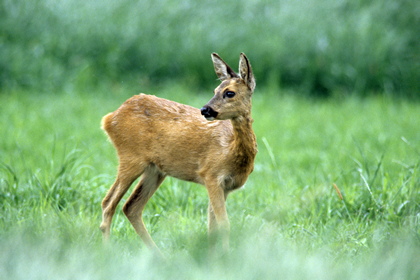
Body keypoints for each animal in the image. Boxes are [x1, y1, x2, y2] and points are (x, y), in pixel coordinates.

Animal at [100, 52, 258, 254]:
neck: (231, 150)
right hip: (130, 158)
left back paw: (159, 254)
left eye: (229, 92)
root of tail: (109, 118)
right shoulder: (210, 175)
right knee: (108, 203)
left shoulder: (226, 186)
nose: (205, 110)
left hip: (155, 170)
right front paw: (225, 256)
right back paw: (107, 251)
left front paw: (213, 255)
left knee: (131, 207)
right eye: (214, 90)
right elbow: (224, 224)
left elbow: (212, 226)